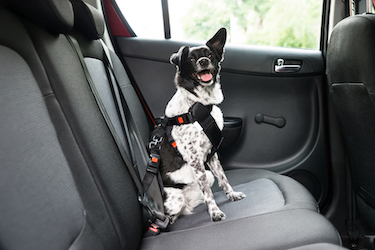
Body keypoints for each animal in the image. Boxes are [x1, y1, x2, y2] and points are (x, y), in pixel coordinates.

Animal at [157, 28, 245, 224]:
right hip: (176, 198)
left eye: (210, 55)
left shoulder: (212, 154)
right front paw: (214, 212)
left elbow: (223, 178)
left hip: (206, 176)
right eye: (190, 59)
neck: (198, 104)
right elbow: (208, 193)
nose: (203, 61)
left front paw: (232, 195)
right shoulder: (195, 160)